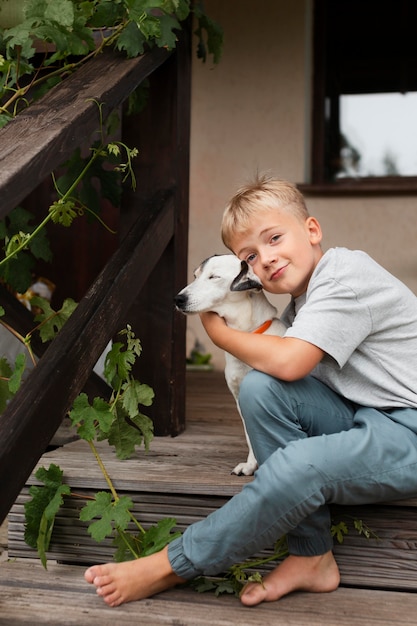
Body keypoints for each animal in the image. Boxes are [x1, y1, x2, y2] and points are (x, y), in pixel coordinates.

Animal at [173, 254, 286, 472]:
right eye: (195, 276)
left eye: (214, 277)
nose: (178, 299)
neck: (245, 338)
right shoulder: (239, 396)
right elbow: (251, 434)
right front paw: (251, 464)